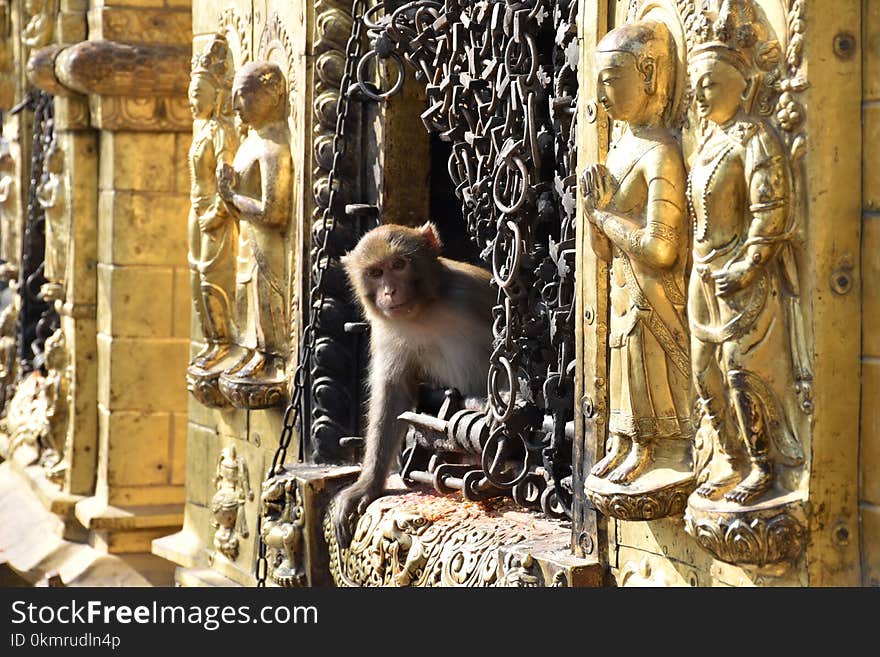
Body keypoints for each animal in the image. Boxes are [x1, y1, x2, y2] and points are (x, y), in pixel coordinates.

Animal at [332, 223, 496, 544]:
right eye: (375, 272)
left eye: (398, 265)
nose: (389, 291)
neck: (424, 312)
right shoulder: (385, 331)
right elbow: (393, 394)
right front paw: (368, 485)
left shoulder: (473, 290)